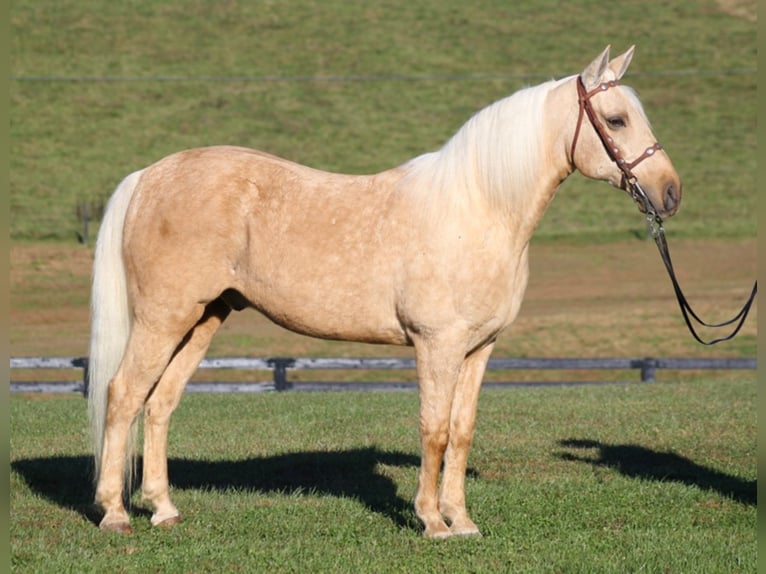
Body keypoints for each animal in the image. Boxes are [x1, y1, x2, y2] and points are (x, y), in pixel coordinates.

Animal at [90, 46, 684, 540]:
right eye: (616, 119)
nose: (670, 192)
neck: (477, 209)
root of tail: (148, 175)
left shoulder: (479, 348)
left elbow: (462, 432)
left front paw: (462, 521)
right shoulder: (436, 344)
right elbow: (434, 430)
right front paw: (432, 522)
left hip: (203, 318)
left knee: (160, 404)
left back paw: (164, 510)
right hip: (163, 318)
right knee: (123, 395)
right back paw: (116, 514)